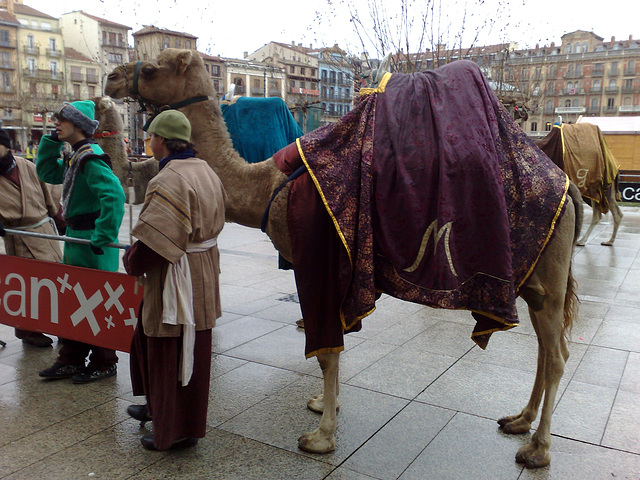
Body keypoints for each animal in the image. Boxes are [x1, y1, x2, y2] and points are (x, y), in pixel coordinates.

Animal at [105, 49, 584, 468]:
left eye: (152, 67)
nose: (111, 79)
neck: (266, 186)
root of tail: (568, 187)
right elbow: (331, 347)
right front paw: (322, 404)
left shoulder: (316, 262)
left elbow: (325, 351)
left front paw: (321, 436)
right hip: (535, 282)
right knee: (547, 349)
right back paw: (518, 421)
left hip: (546, 276)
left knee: (558, 354)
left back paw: (538, 450)